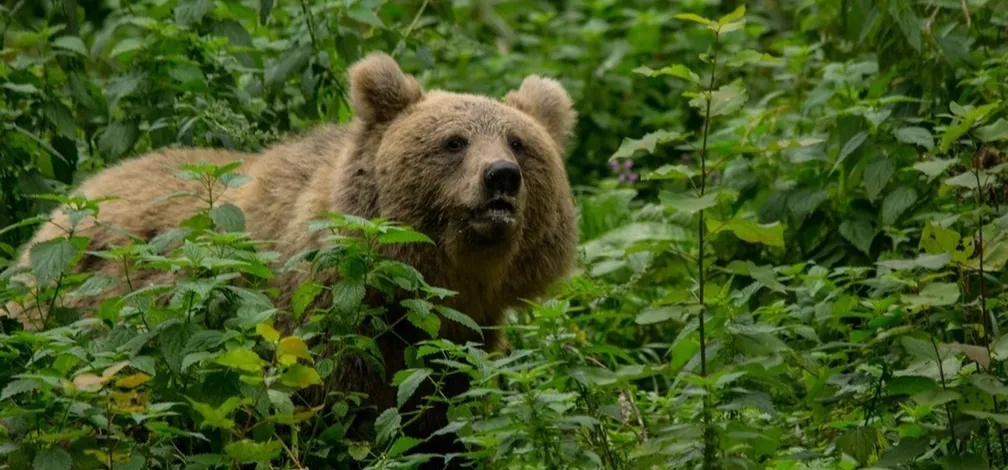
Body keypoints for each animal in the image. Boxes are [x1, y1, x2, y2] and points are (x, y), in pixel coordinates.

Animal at [1, 52, 578, 468]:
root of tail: (62, 209)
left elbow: (440, 419)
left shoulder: (456, 339)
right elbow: (319, 419)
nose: (501, 177)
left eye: (519, 142)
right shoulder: (318, 322)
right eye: (454, 141)